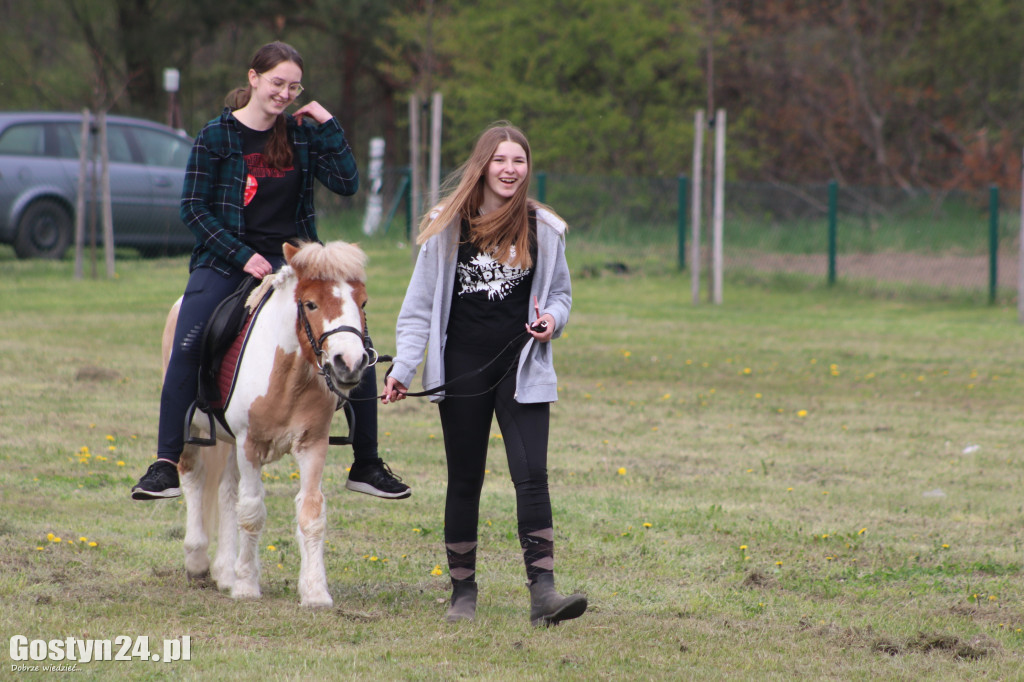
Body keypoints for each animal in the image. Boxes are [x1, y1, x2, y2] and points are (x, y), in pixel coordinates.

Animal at [165, 240, 374, 606]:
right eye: (311, 303)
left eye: (362, 302)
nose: (348, 363)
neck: (289, 376)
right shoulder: (250, 444)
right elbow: (251, 513)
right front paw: (247, 586)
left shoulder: (312, 444)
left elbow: (311, 513)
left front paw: (315, 592)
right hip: (195, 434)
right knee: (194, 478)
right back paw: (198, 561)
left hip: (230, 443)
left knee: (226, 491)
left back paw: (225, 572)